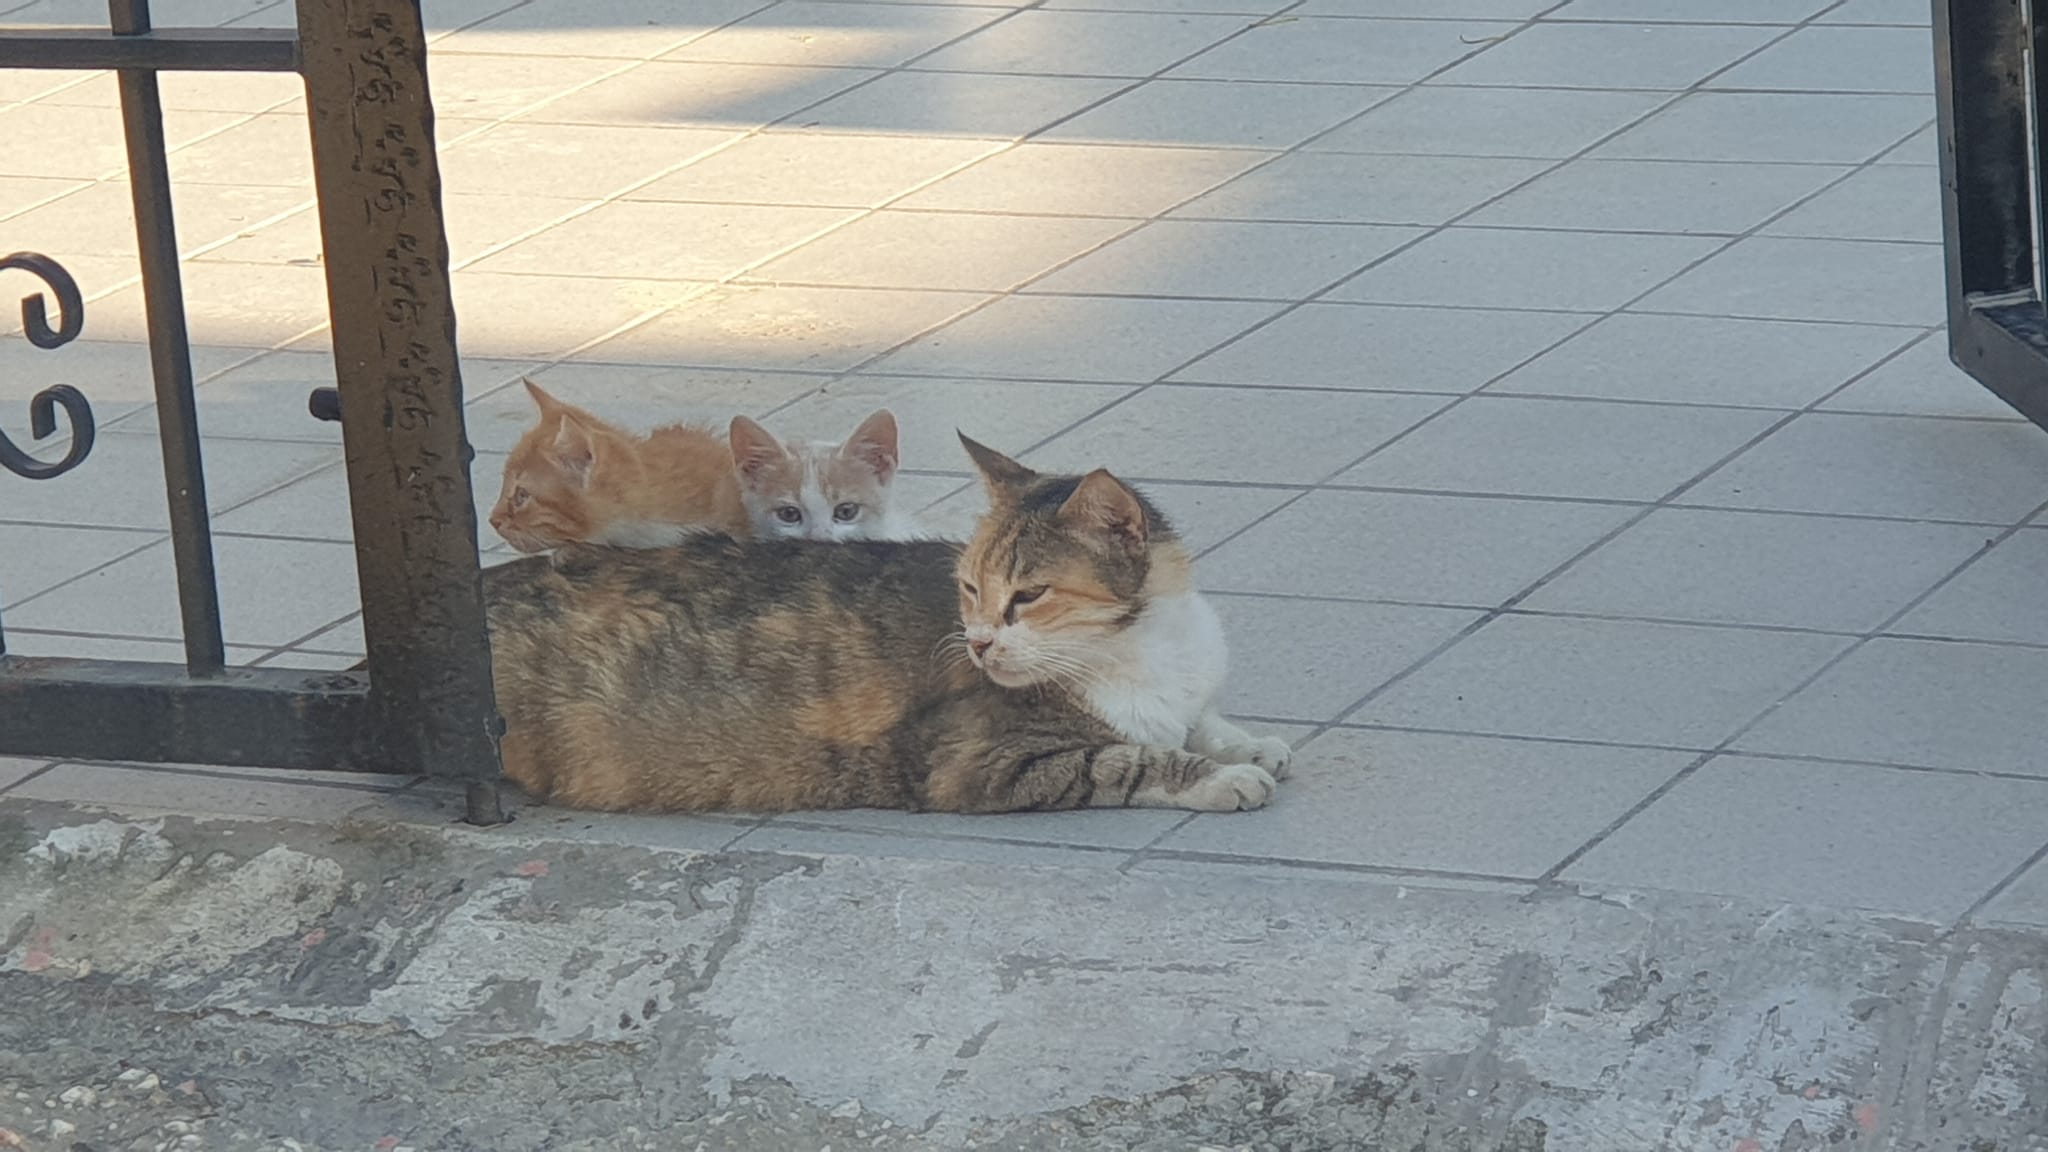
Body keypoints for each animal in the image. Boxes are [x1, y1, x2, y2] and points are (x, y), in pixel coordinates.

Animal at [485, 432, 1286, 815]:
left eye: (1028, 595)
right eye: (970, 588)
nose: (979, 644)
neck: (1148, 644)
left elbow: (1202, 719)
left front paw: (1247, 741)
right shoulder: (980, 759)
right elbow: (1129, 759)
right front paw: (1223, 776)